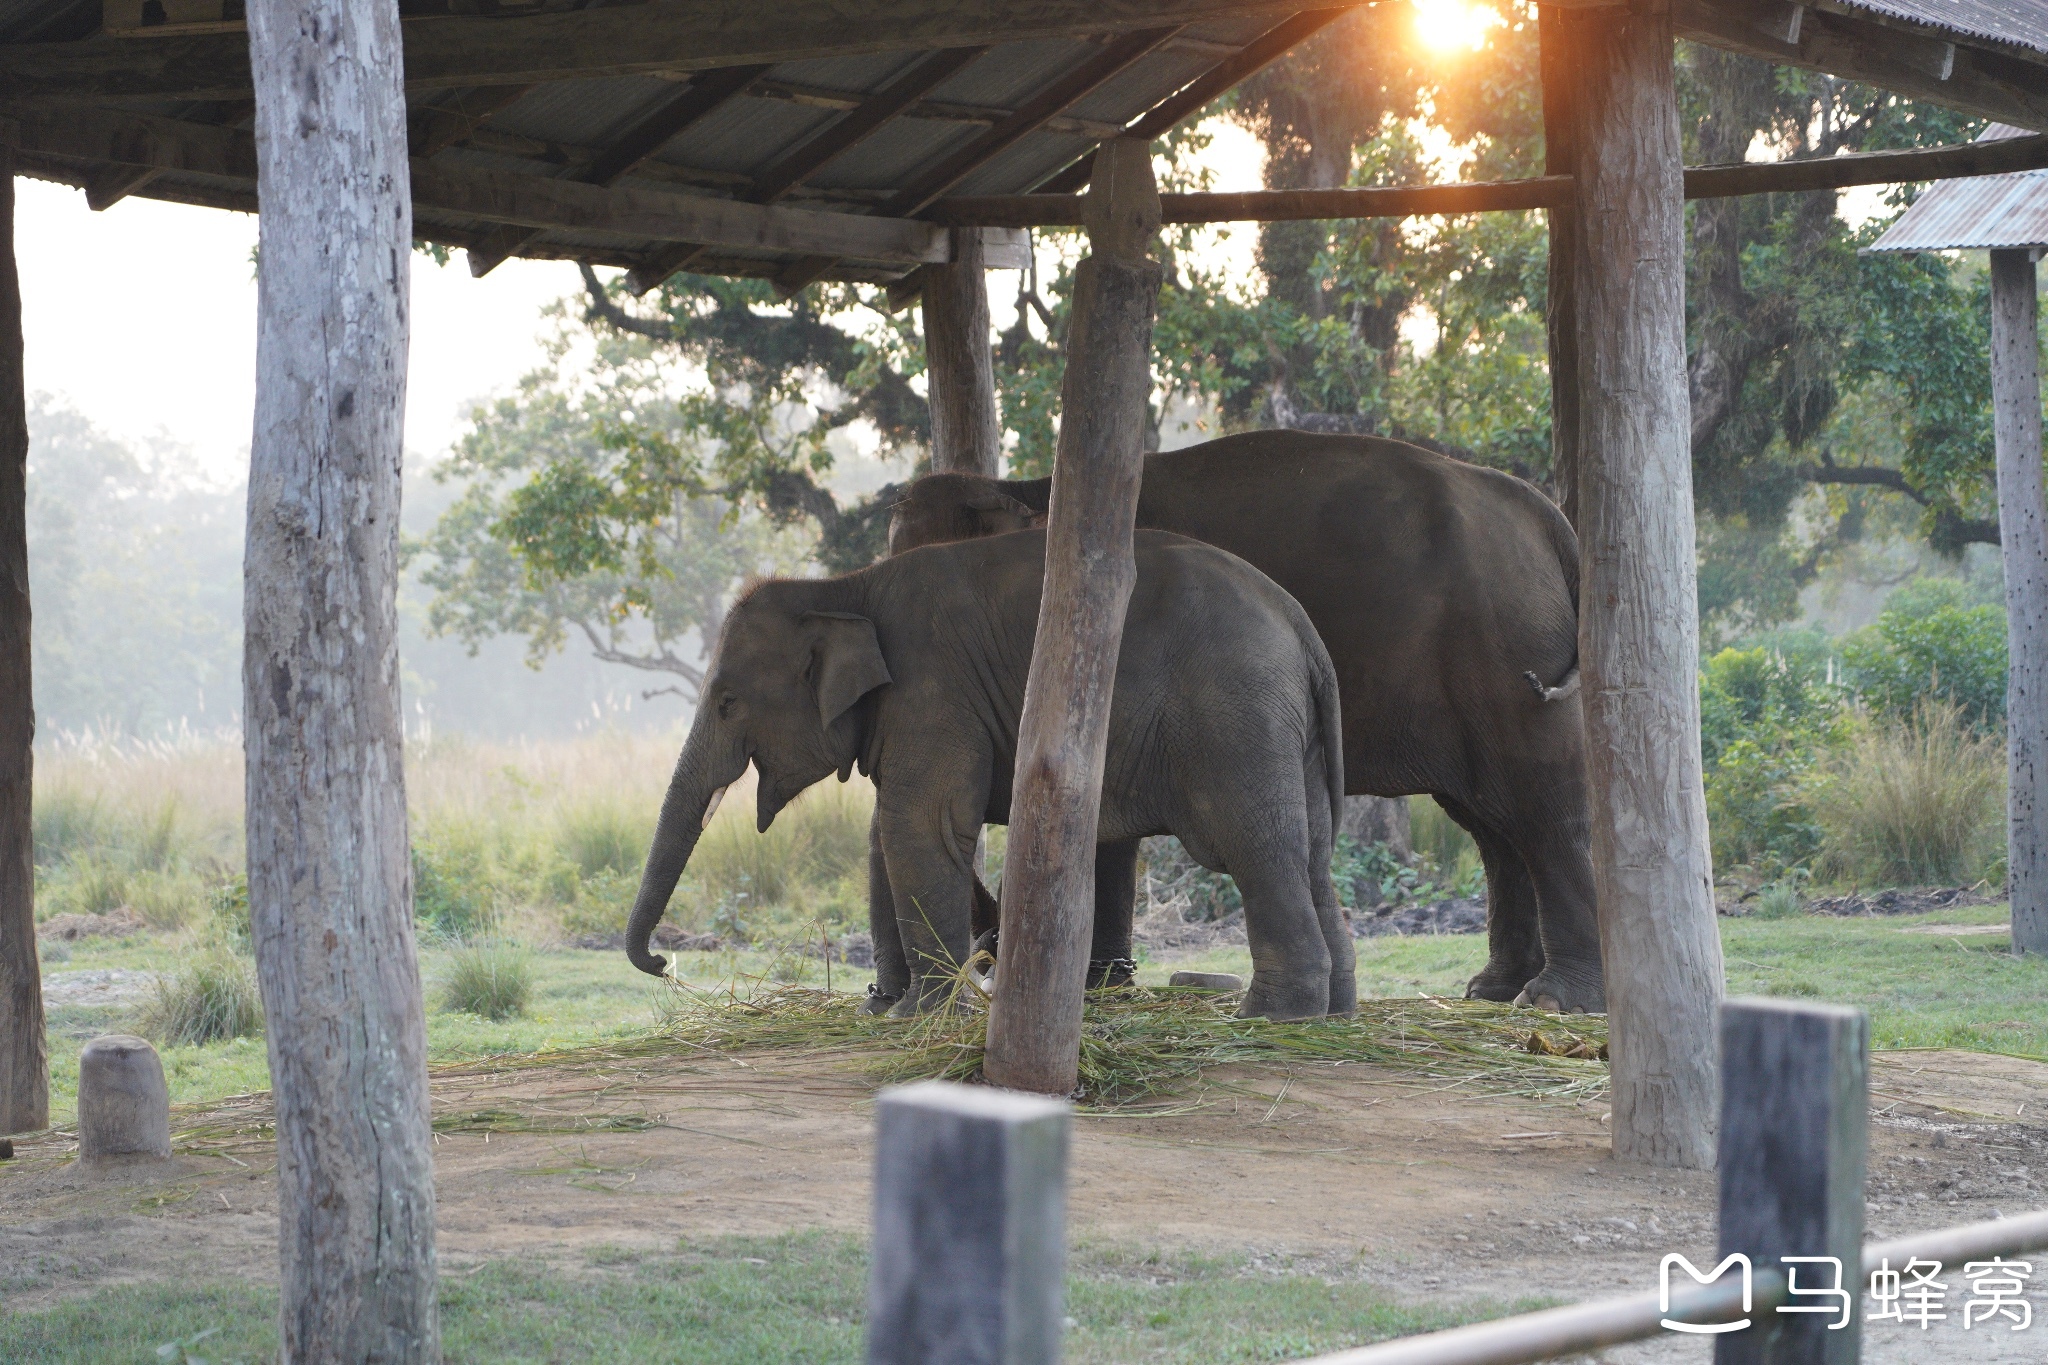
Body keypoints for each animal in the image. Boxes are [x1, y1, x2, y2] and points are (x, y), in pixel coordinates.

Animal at [622, 527, 1359, 1019]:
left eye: (726, 702)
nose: (663, 962)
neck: (843, 587)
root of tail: (1304, 630)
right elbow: (886, 833)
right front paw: (889, 1009)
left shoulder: (932, 690)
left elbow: (918, 825)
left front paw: (922, 1015)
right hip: (1286, 730)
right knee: (1313, 853)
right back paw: (1333, 1010)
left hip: (1233, 718)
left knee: (1256, 847)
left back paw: (1269, 1015)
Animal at [880, 429, 1597, 1015]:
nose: (986, 949)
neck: (1027, 489)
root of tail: (1549, 518)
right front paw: (1101, 986)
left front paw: (1093, 986)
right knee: (1493, 826)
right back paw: (1494, 989)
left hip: (1506, 654)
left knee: (1540, 808)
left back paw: (1554, 1000)